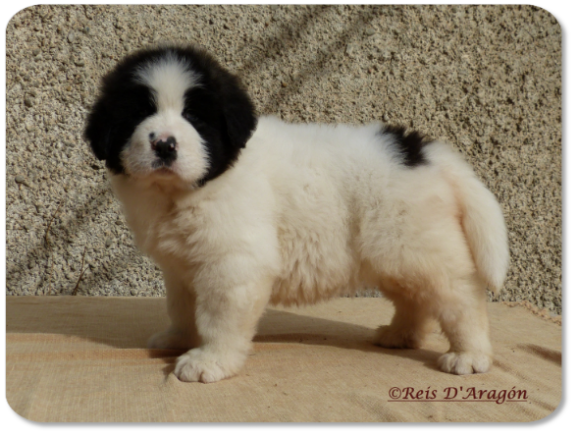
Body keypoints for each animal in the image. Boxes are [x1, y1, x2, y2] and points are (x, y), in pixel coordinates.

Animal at [82, 45, 508, 382]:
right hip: (393, 254)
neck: (185, 192)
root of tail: (428, 154)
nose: (165, 144)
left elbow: (219, 317)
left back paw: (469, 355)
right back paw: (399, 335)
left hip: (419, 248)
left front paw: (209, 362)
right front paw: (178, 339)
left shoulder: (233, 264)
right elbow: (182, 307)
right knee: (414, 298)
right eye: (139, 114)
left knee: (460, 297)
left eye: (196, 118)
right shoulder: (181, 267)